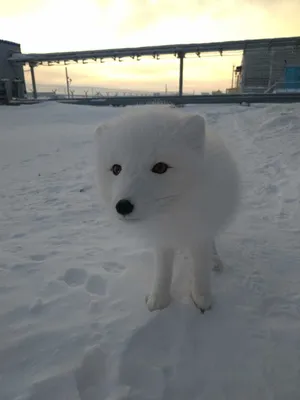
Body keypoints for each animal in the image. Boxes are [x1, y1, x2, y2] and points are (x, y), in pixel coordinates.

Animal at [95, 104, 240, 314]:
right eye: (116, 169)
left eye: (160, 167)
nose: (122, 206)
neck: (171, 214)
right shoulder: (162, 239)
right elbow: (163, 271)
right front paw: (159, 299)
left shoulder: (200, 233)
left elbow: (200, 268)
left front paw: (202, 297)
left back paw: (214, 260)